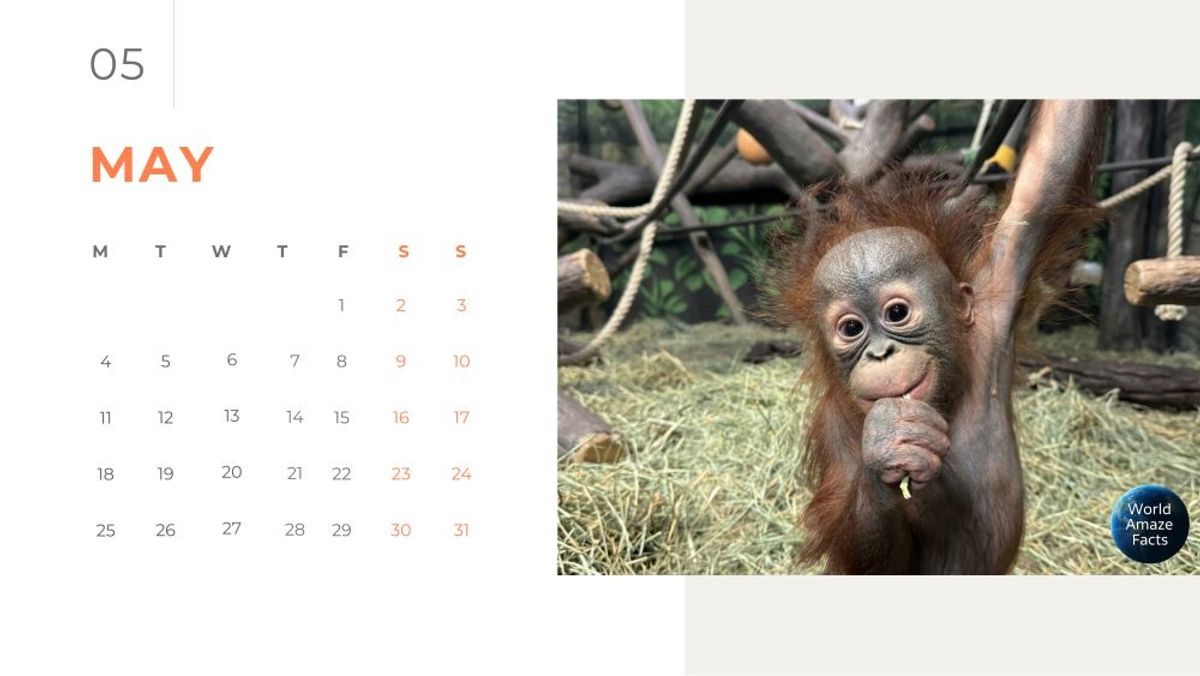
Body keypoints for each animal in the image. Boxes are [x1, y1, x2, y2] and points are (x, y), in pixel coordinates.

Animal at [770, 101, 1109, 574]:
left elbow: (1044, 185)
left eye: (897, 313)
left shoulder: (995, 303)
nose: (880, 353)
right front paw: (890, 443)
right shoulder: (832, 426)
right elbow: (865, 558)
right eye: (852, 329)